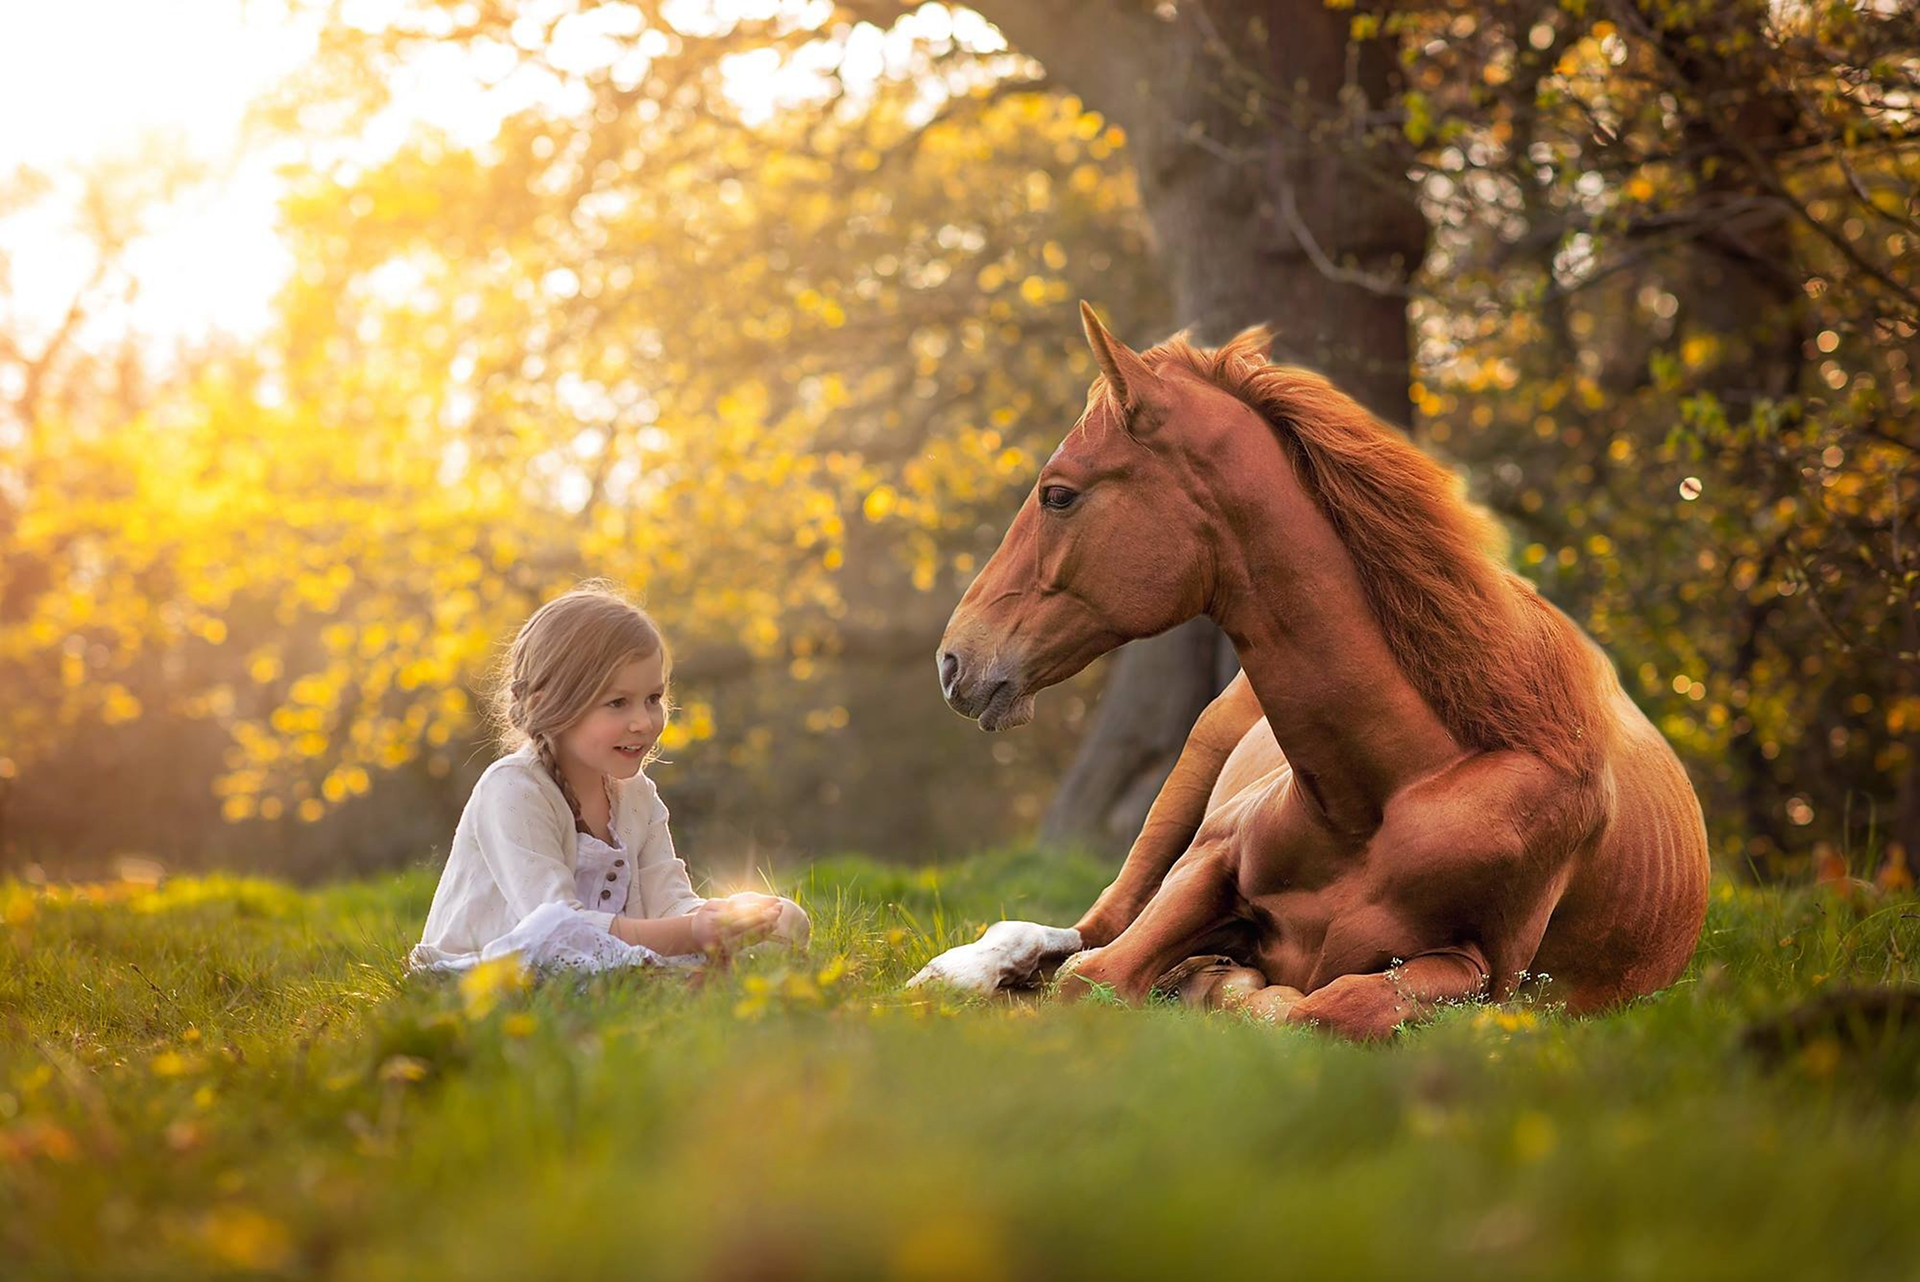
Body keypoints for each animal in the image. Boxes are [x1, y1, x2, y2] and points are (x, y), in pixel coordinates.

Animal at [909, 304, 1709, 1041]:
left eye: (1059, 494)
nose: (954, 659)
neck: (1392, 790)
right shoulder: (1207, 865)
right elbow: (1092, 975)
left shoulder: (1483, 973)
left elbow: (1324, 1008)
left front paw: (1222, 985)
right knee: (1082, 928)